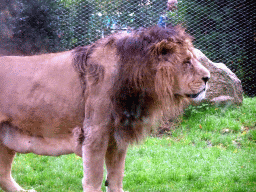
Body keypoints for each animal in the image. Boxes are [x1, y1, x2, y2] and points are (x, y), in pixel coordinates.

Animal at [0, 24, 210, 191]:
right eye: (187, 62)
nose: (208, 78)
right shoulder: (94, 134)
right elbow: (94, 179)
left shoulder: (117, 139)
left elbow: (116, 177)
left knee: (3, 174)